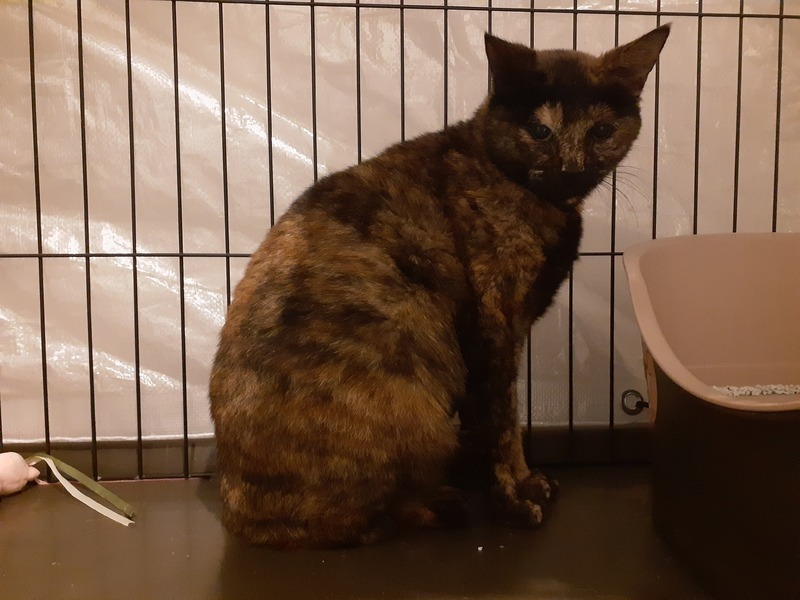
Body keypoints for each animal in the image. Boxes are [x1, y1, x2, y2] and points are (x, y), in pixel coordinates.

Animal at [210, 24, 670, 548]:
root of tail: (234, 512)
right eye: (540, 130)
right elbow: (498, 422)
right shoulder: (494, 327)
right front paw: (511, 503)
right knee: (358, 522)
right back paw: (444, 506)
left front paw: (528, 481)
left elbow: (510, 419)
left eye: (600, 131)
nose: (571, 169)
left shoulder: (513, 332)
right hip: (416, 404)